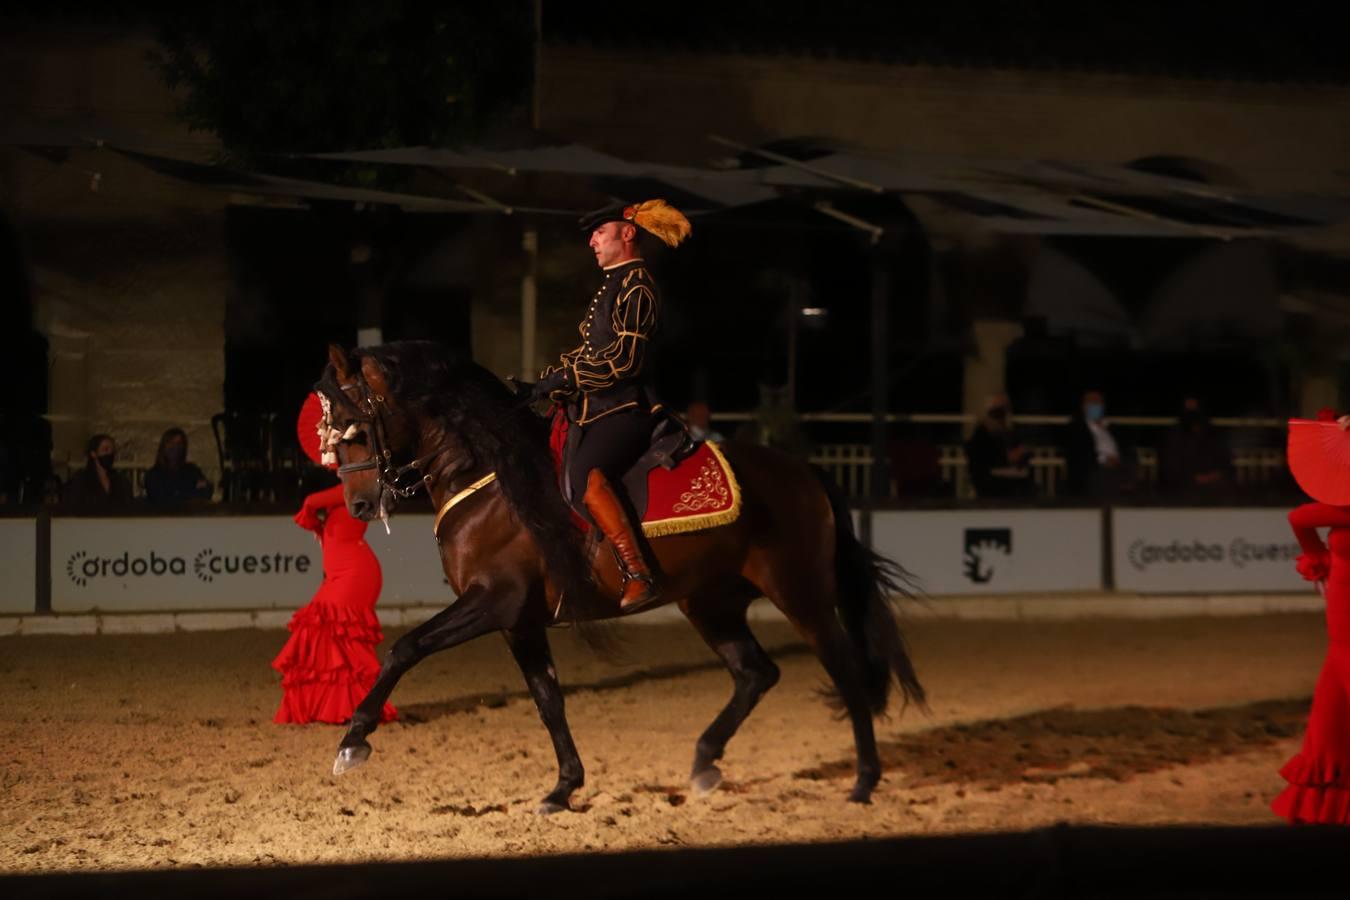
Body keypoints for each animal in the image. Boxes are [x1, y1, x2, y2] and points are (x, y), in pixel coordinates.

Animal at [318, 341, 928, 814]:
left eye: (354, 429)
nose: (358, 504)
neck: (490, 476)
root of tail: (804, 472)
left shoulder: (493, 600)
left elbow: (406, 648)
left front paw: (353, 739)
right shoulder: (519, 621)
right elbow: (548, 700)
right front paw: (563, 789)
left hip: (799, 592)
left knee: (844, 668)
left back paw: (864, 780)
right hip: (711, 602)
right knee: (756, 672)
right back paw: (705, 763)